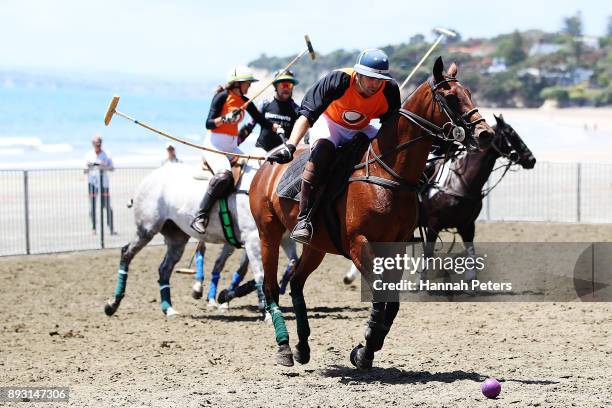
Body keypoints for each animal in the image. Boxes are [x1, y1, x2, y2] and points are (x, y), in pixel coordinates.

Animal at [247, 58, 492, 370]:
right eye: (450, 97)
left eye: (469, 93)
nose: (485, 133)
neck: (388, 173)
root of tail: (264, 167)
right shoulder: (359, 243)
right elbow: (378, 294)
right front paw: (365, 349)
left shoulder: (396, 245)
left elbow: (393, 302)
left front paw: (367, 347)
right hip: (268, 233)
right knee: (270, 287)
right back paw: (284, 347)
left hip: (317, 246)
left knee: (297, 283)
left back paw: (302, 346)